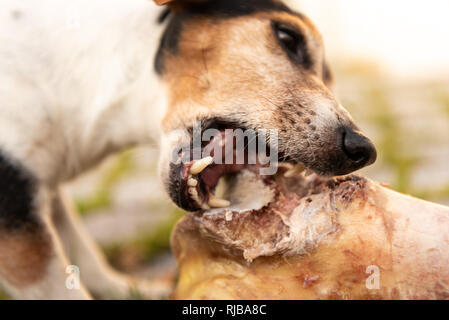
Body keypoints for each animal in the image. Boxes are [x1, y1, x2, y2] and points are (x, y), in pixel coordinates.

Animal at [0, 0, 376, 300]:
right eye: (287, 36)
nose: (364, 149)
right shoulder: (17, 205)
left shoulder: (45, 189)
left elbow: (81, 249)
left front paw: (127, 291)